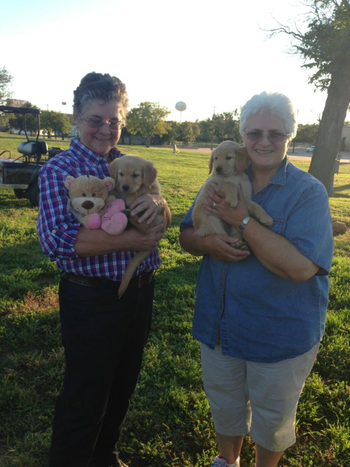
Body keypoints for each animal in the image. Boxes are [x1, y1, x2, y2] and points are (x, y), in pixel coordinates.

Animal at [108, 155, 170, 298]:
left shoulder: (148, 190)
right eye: (121, 174)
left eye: (135, 175)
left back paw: (131, 216)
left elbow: (138, 194)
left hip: (154, 219)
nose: (125, 186)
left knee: (146, 229)